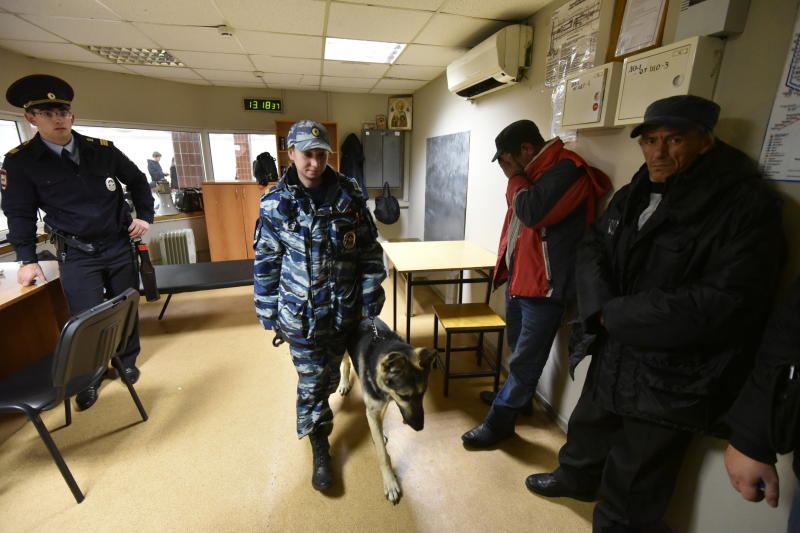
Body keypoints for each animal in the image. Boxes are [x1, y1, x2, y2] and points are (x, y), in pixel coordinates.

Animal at [338, 316, 438, 502]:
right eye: (404, 396)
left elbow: (380, 424)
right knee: (345, 363)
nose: (420, 427)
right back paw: (343, 382)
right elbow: (383, 454)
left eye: (423, 393)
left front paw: (379, 434)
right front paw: (390, 482)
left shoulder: (379, 406)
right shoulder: (373, 409)